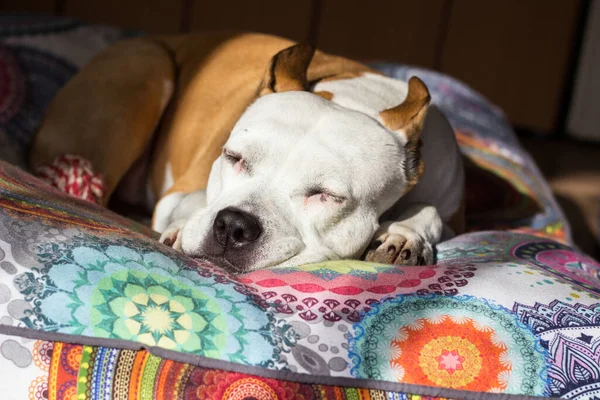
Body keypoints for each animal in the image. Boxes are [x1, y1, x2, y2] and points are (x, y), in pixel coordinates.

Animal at [30, 32, 466, 274]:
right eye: (233, 157)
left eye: (326, 196)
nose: (233, 226)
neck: (359, 99)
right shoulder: (179, 192)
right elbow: (189, 204)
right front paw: (181, 227)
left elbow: (431, 211)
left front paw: (403, 232)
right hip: (146, 66)